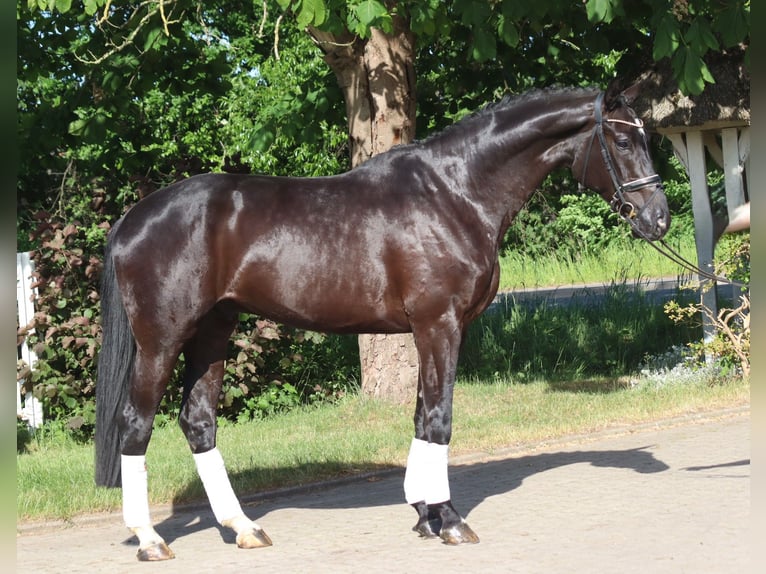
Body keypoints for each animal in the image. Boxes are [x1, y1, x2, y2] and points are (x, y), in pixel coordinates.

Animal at [95, 81, 670, 561]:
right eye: (622, 141)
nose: (659, 218)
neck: (455, 192)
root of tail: (135, 217)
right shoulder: (440, 324)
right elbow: (439, 418)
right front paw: (450, 519)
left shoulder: (433, 329)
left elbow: (420, 415)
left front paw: (424, 514)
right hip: (162, 339)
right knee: (136, 423)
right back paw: (150, 539)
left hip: (214, 332)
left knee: (198, 421)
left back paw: (244, 527)